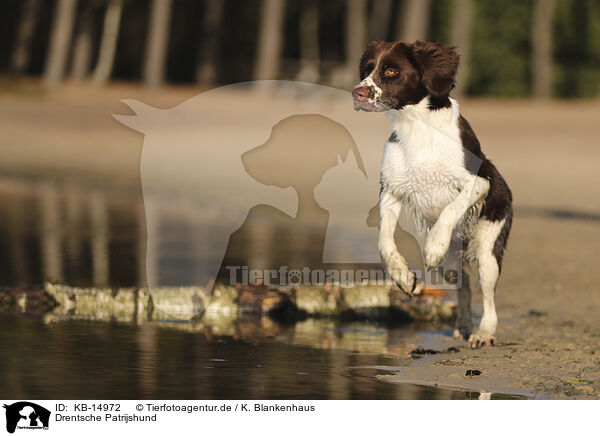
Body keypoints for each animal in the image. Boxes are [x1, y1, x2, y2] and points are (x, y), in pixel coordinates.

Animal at [354, 41, 512, 348]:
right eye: (366, 70)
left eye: (391, 71)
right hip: (449, 267)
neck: (415, 124)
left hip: (488, 251)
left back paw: (484, 332)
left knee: (488, 296)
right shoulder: (390, 189)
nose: (357, 92)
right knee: (464, 287)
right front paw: (403, 276)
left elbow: (451, 209)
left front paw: (436, 244)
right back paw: (463, 325)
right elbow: (384, 240)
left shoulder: (479, 183)